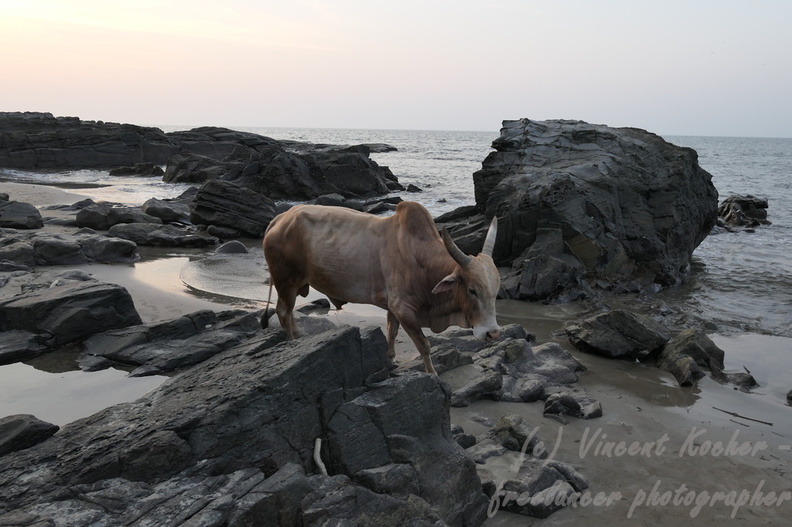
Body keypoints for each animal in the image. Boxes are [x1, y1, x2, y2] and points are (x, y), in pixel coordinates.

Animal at [264, 199, 502, 376]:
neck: (421, 259)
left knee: (288, 313)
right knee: (283, 312)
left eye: (495, 292)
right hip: (286, 282)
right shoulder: (403, 308)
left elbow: (391, 331)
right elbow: (423, 344)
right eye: (472, 290)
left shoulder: (393, 307)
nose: (492, 333)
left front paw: (391, 359)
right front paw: (432, 373)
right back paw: (293, 342)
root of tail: (280, 218)